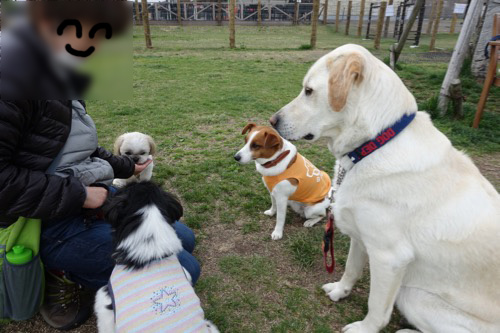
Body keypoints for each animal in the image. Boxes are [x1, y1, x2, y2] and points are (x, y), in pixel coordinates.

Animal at [272, 44, 498, 332]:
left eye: (309, 90)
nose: (273, 120)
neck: (374, 144)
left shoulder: (389, 258)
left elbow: (377, 308)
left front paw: (363, 328)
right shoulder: (360, 237)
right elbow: (350, 269)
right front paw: (339, 291)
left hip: (412, 295)